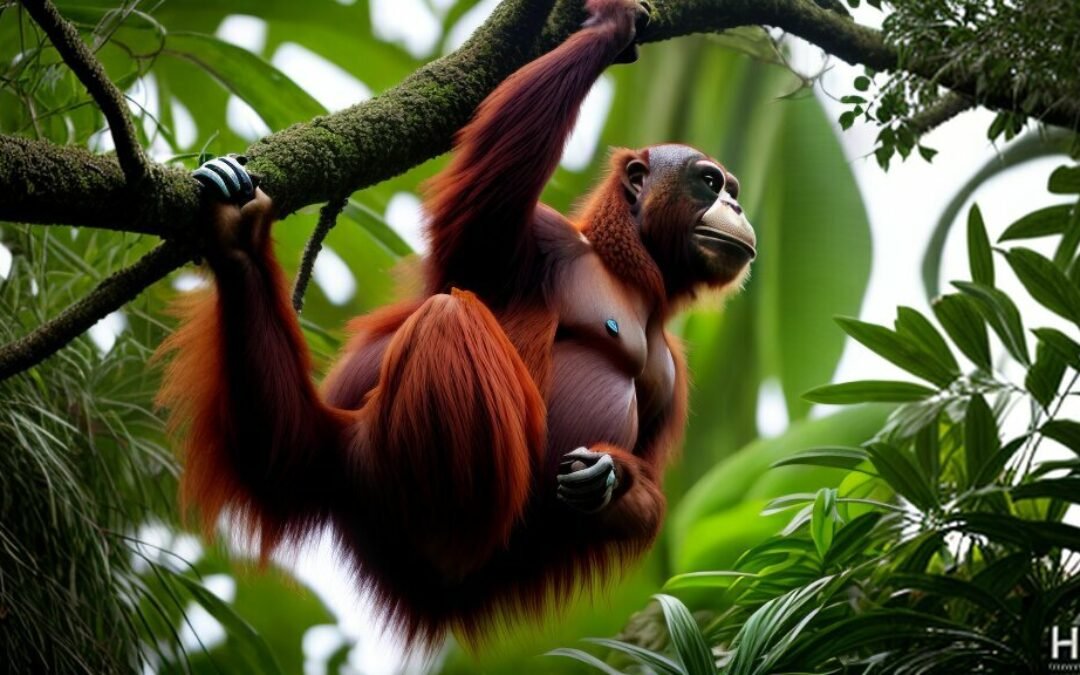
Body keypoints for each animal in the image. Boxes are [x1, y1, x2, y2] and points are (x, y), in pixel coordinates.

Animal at [158, 0, 755, 649]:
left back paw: (238, 244)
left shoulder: (673, 369)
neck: (631, 272)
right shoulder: (544, 243)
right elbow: (477, 218)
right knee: (447, 317)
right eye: (709, 182)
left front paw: (610, 477)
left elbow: (643, 476)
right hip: (376, 460)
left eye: (731, 188)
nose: (738, 205)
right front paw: (608, 28)